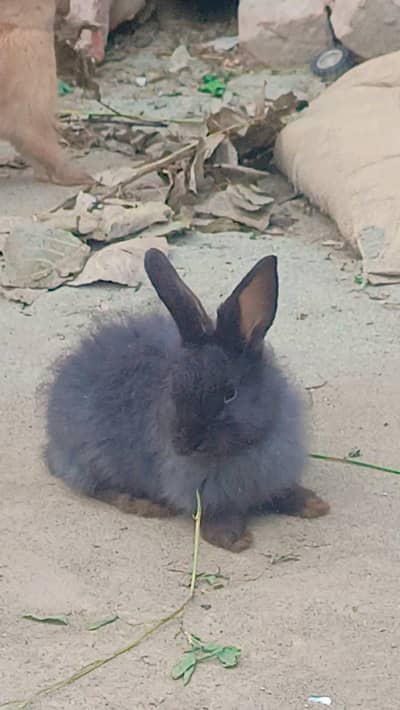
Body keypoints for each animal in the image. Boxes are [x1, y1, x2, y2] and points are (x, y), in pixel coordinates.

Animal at [45, 249, 329, 552]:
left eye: (230, 393)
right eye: (173, 388)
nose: (186, 443)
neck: (243, 449)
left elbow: (281, 492)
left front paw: (314, 505)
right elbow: (218, 514)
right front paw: (232, 539)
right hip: (94, 455)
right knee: (97, 487)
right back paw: (144, 504)